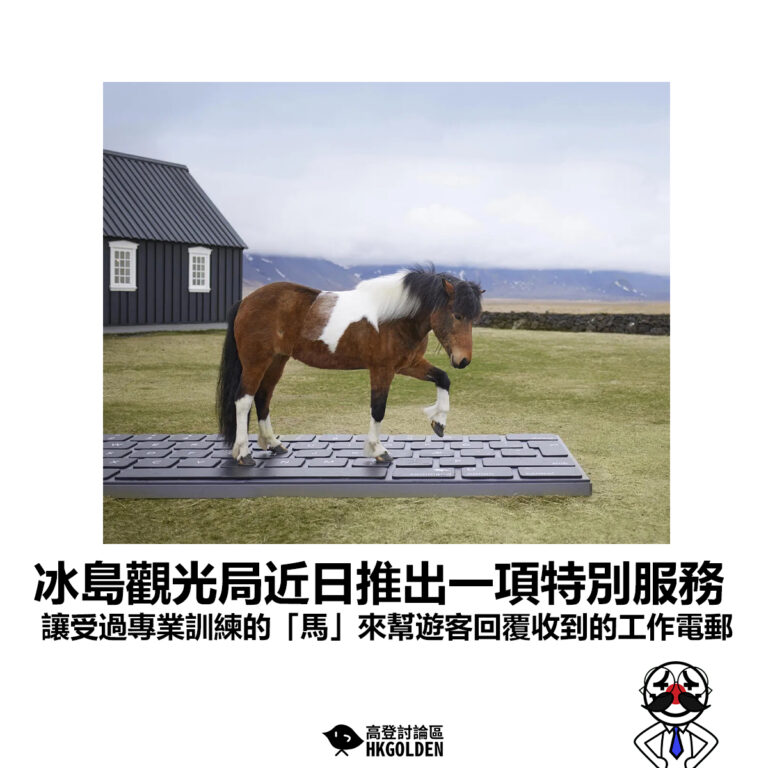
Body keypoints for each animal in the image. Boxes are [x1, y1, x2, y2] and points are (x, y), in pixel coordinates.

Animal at [216, 266, 484, 465]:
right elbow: (378, 409)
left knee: (263, 397)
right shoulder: (382, 370)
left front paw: (438, 422)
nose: (463, 360)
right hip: (256, 361)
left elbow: (443, 378)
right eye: (457, 315)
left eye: (475, 317)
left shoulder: (409, 364)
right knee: (243, 401)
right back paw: (243, 453)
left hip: (276, 361)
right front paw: (378, 450)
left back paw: (273, 443)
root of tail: (246, 301)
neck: (395, 317)